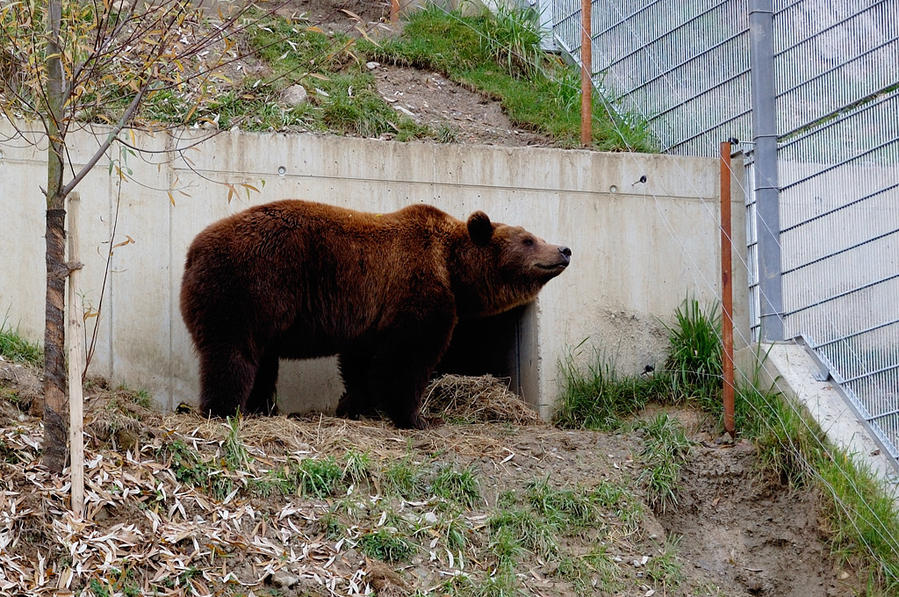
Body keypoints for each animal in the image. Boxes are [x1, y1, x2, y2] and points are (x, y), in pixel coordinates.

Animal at [180, 200, 572, 428]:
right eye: (528, 239)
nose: (564, 249)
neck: (452, 269)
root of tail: (193, 249)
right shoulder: (415, 291)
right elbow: (406, 360)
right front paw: (415, 417)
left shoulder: (369, 316)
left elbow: (361, 363)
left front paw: (355, 405)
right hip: (250, 286)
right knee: (232, 353)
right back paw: (223, 408)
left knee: (261, 359)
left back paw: (262, 408)